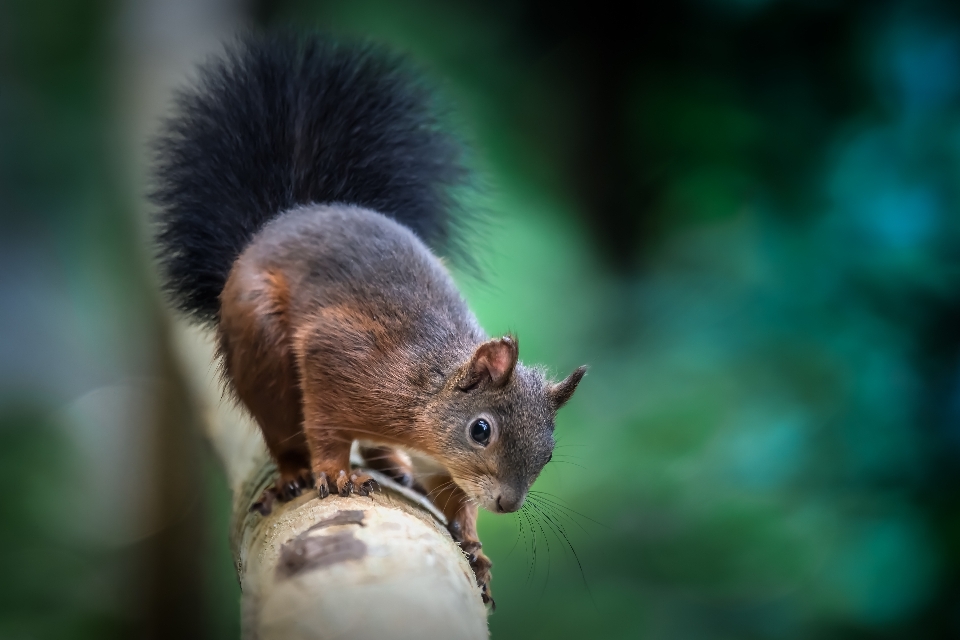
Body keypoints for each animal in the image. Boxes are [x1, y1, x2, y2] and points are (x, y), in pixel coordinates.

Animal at [151, 31, 584, 604]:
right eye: (481, 430)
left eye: (550, 453)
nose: (508, 504)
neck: (428, 394)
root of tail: (276, 223)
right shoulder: (338, 354)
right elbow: (327, 427)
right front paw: (338, 474)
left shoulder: (447, 468)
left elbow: (456, 499)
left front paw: (473, 545)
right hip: (261, 349)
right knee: (283, 427)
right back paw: (295, 472)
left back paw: (394, 465)